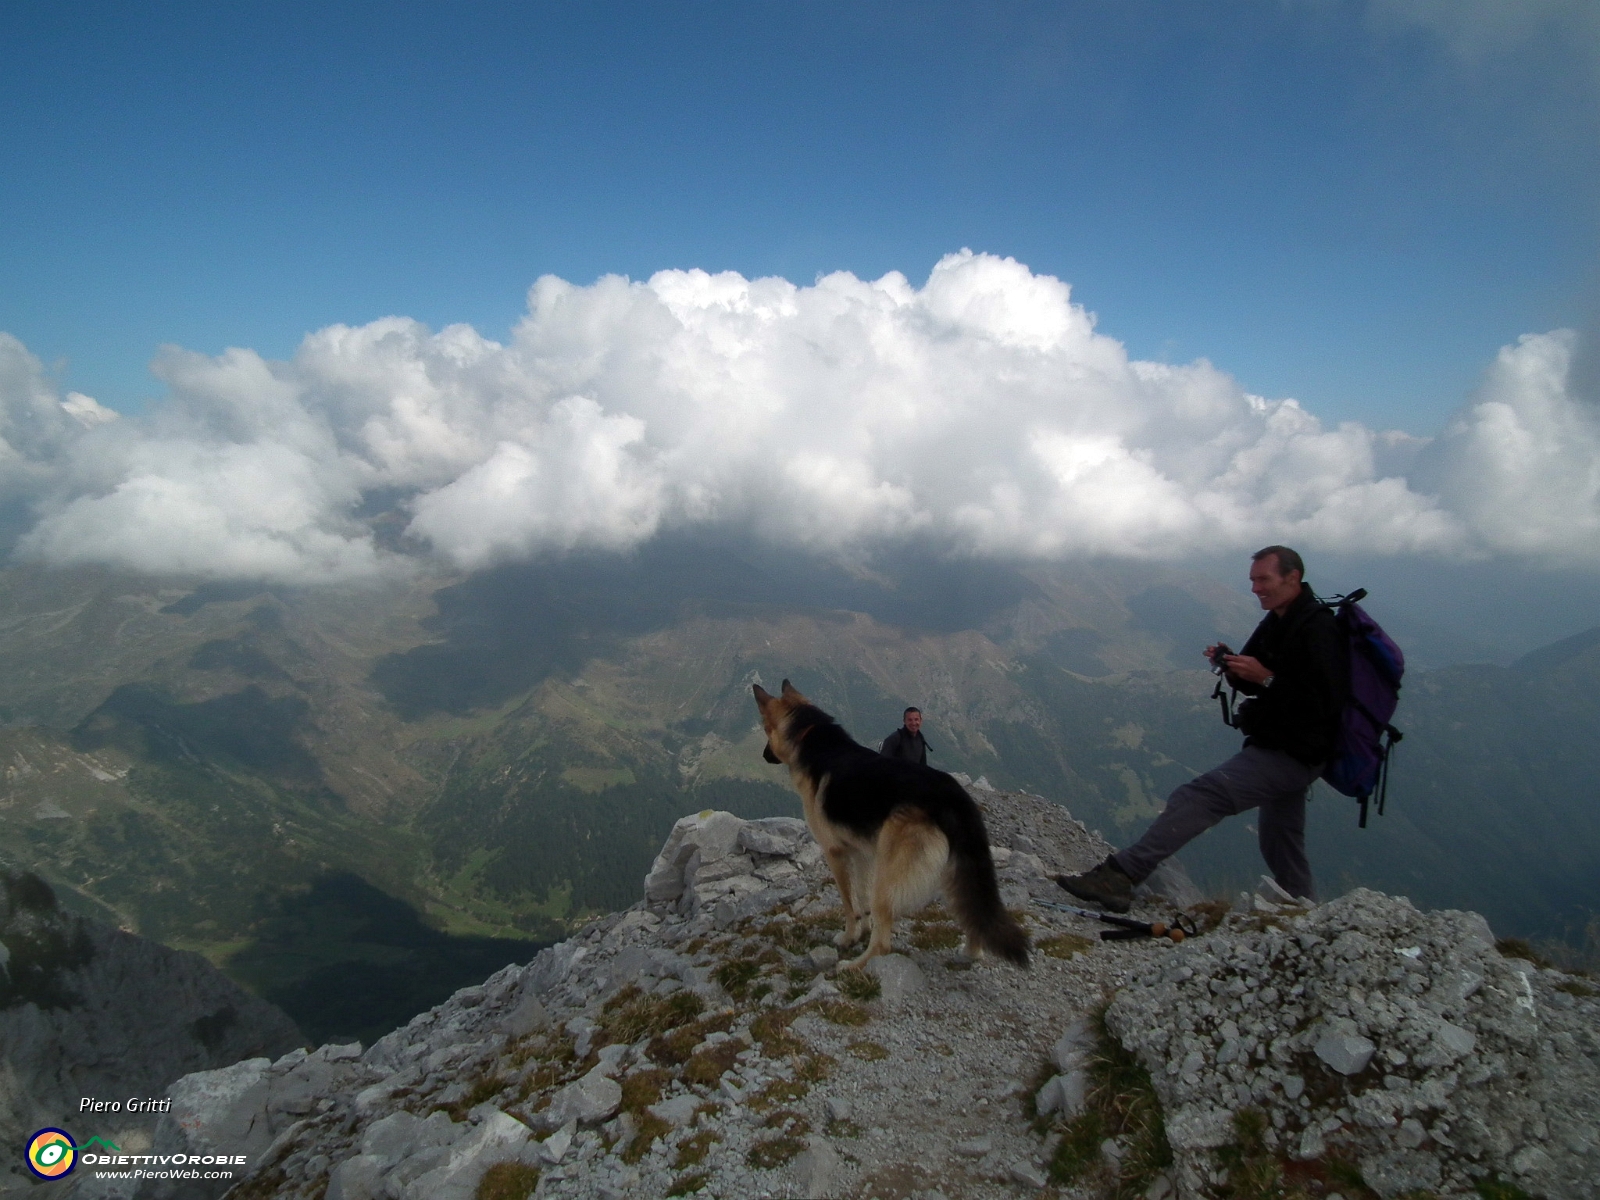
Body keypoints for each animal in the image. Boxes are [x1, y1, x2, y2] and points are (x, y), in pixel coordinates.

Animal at [748, 681, 1024, 972]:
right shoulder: (862, 854)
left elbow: (850, 904)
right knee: (972, 913)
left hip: (888, 877)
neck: (809, 735)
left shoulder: (836, 854)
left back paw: (854, 966)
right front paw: (863, 930)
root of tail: (953, 796)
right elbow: (861, 900)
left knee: (883, 943)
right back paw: (970, 952)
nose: (765, 755)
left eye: (765, 729)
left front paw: (849, 937)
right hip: (952, 872)